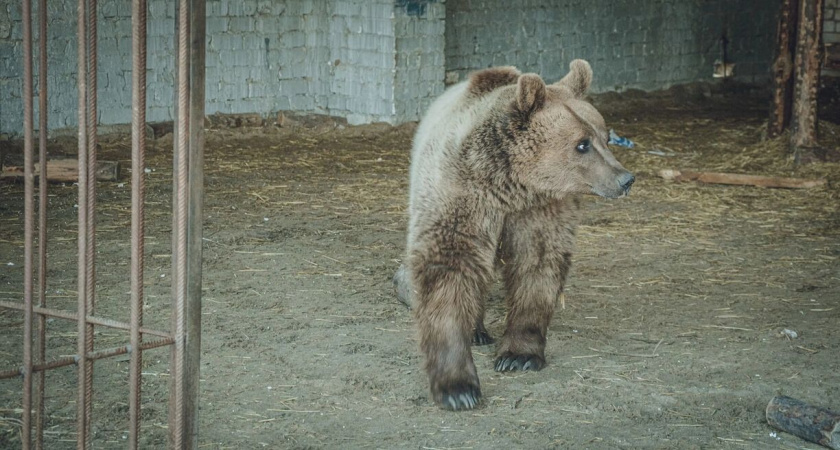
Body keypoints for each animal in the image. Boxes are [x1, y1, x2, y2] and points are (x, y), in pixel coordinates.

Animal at [398, 60, 632, 412]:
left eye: (605, 136)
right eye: (582, 143)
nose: (625, 179)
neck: (512, 184)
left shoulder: (540, 210)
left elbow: (537, 265)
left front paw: (519, 355)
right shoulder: (461, 197)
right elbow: (449, 270)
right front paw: (458, 388)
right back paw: (477, 330)